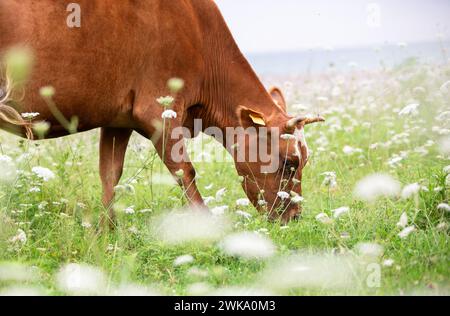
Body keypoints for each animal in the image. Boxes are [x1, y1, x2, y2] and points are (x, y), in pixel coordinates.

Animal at [0, 0, 324, 225]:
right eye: (290, 162)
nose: (294, 217)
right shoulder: (159, 112)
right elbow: (185, 171)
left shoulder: (119, 118)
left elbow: (110, 174)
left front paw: (107, 233)